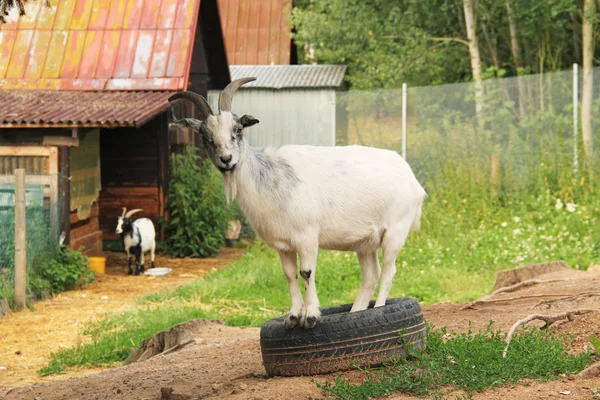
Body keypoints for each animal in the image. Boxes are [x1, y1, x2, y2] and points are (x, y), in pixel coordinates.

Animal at [166, 77, 424, 328]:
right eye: (205, 137)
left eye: (237, 129)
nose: (226, 160)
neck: (270, 177)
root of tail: (413, 180)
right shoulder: (283, 245)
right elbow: (290, 274)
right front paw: (292, 316)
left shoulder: (307, 237)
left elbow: (306, 272)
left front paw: (310, 316)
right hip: (364, 242)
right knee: (371, 275)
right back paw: (356, 312)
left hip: (395, 231)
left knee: (388, 271)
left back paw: (379, 308)